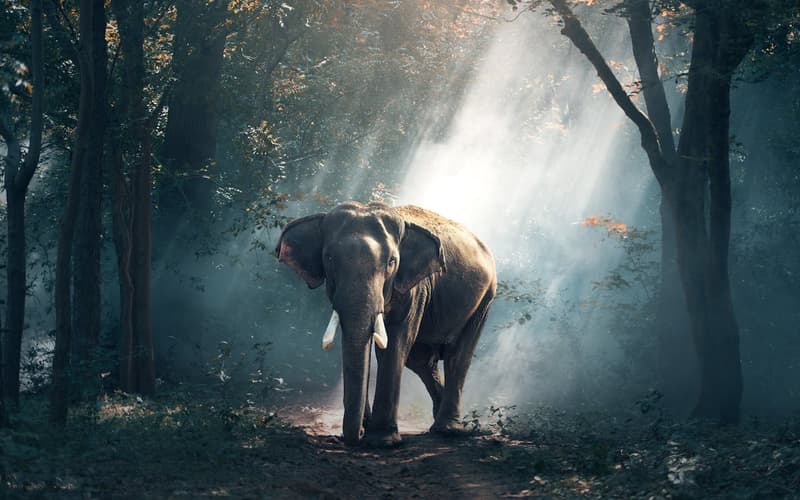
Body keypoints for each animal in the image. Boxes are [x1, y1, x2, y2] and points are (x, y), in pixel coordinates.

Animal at [275, 201, 496, 446]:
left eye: (391, 262)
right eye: (329, 259)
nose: (357, 435)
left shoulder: (414, 288)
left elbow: (395, 343)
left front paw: (382, 441)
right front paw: (368, 430)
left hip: (485, 298)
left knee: (457, 357)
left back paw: (448, 430)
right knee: (421, 361)